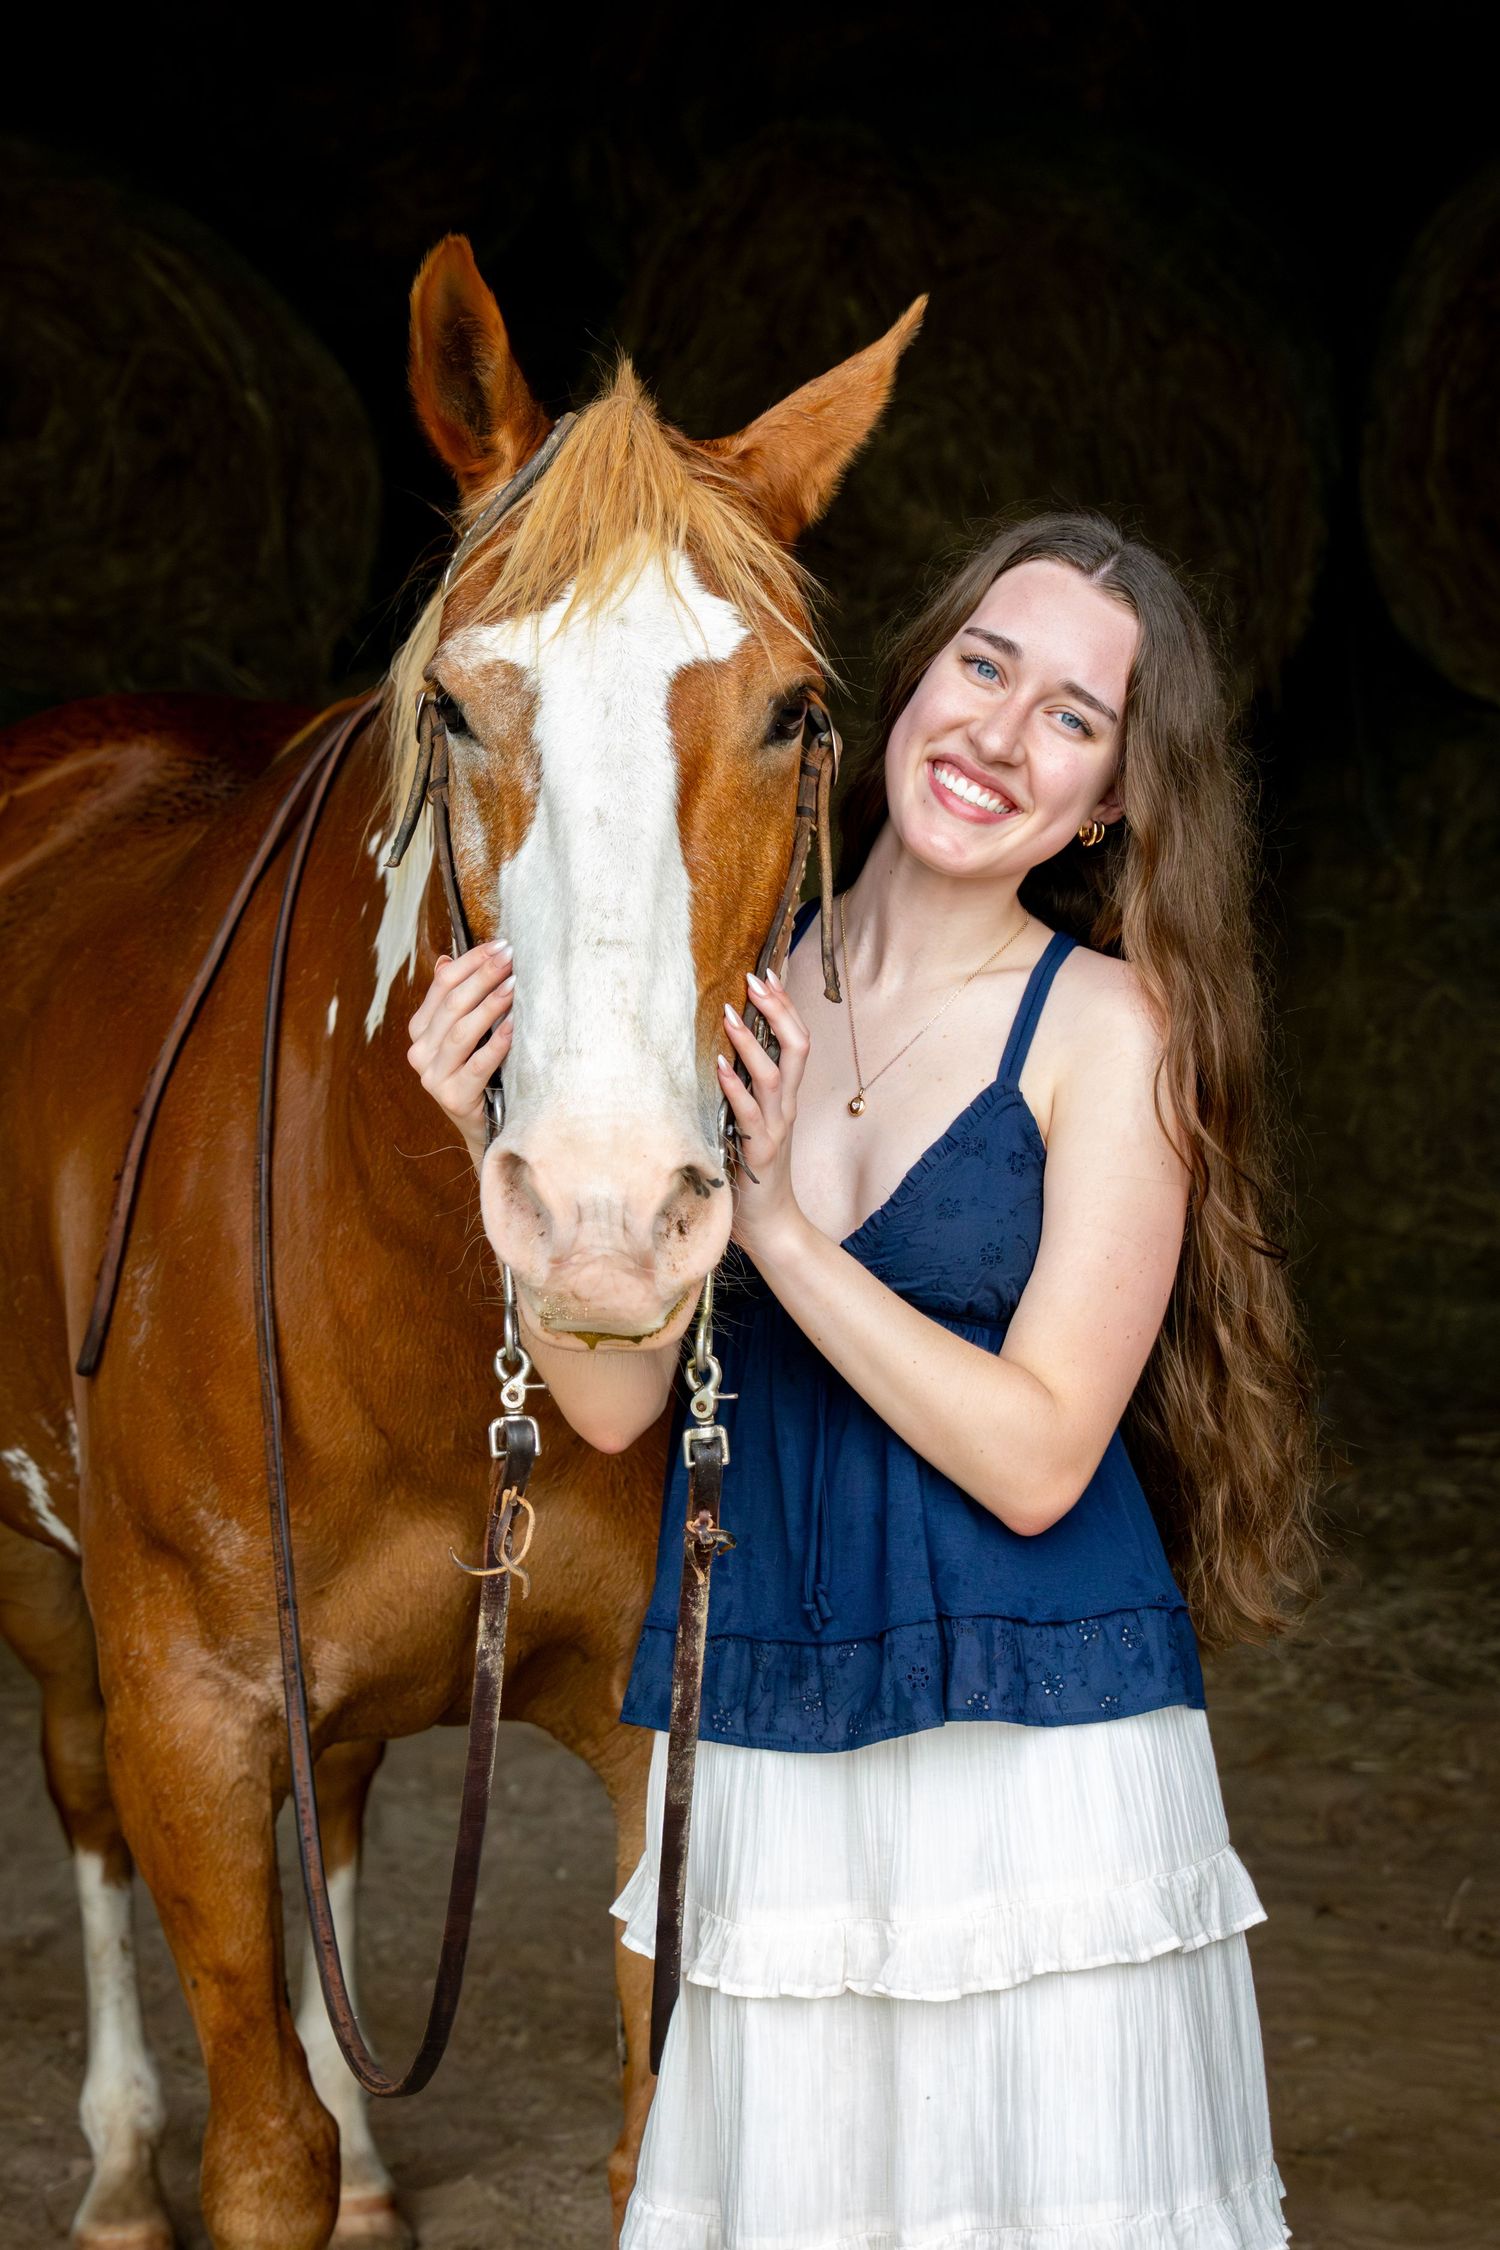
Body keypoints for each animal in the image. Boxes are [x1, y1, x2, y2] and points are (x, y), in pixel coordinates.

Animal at [0, 232, 921, 2250]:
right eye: (456, 708)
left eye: (797, 715)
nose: (603, 1222)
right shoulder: (193, 1720)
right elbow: (256, 2144)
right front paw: (240, 2158)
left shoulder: (665, 1745)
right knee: (82, 1796)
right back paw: (112, 2160)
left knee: (340, 1809)